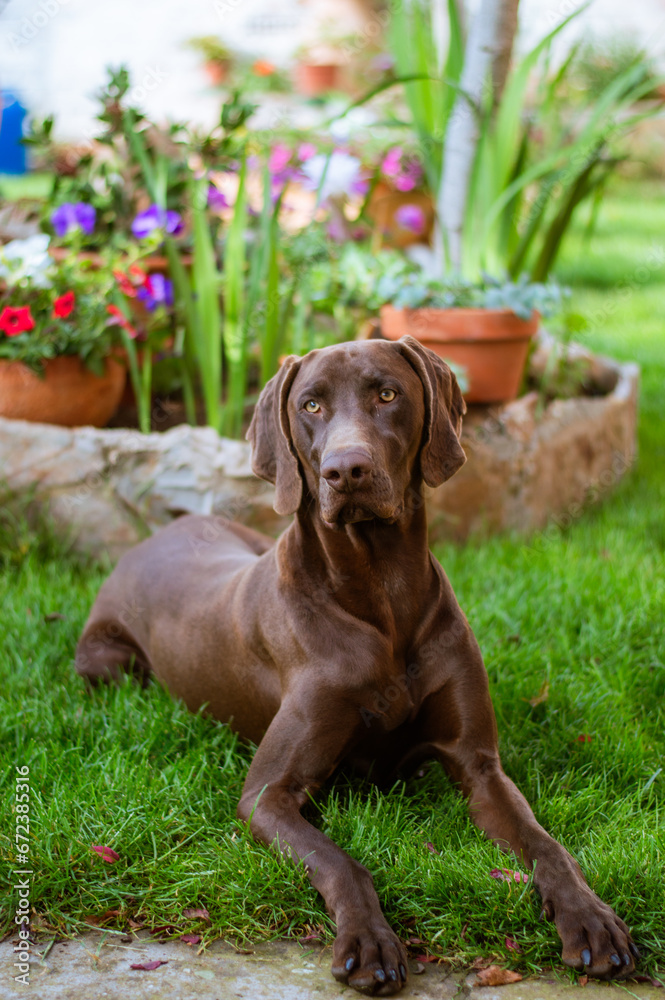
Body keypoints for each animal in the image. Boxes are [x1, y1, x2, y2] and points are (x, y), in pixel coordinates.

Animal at [78, 340, 640, 996]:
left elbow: (546, 845)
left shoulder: (479, 765)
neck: (382, 594)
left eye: (387, 393)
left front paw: (590, 919)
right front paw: (369, 941)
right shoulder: (268, 795)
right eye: (310, 404)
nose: (346, 471)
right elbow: (341, 862)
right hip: (109, 665)